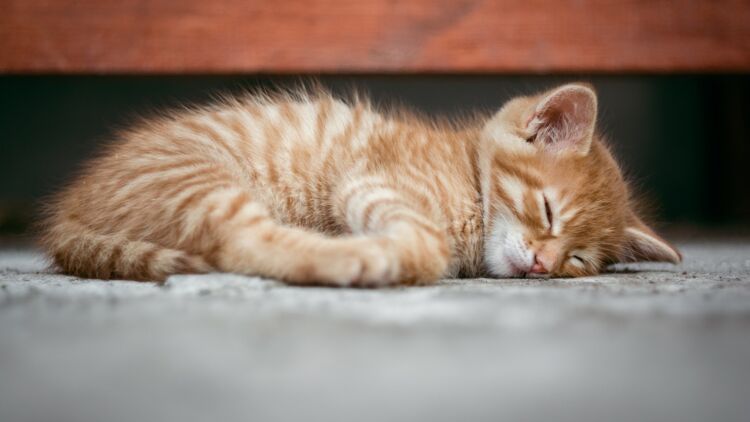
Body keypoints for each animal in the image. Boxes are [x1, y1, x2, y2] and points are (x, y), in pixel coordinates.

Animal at [42, 82, 688, 286]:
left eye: (577, 260)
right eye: (548, 211)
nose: (542, 263)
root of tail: (70, 212)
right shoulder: (369, 183)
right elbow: (425, 242)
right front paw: (402, 253)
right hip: (205, 183)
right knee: (244, 242)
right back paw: (350, 258)